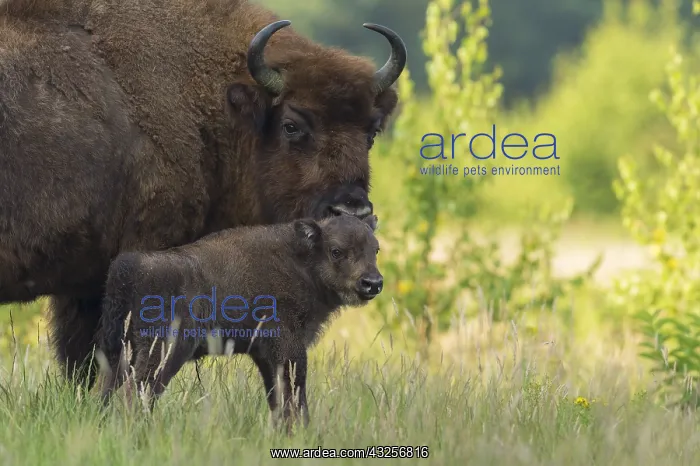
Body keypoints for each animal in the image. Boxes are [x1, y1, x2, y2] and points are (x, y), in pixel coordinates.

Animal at [0, 0, 405, 387]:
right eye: (292, 126)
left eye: (371, 132)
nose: (351, 210)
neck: (209, 99)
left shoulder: (84, 284)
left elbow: (81, 360)